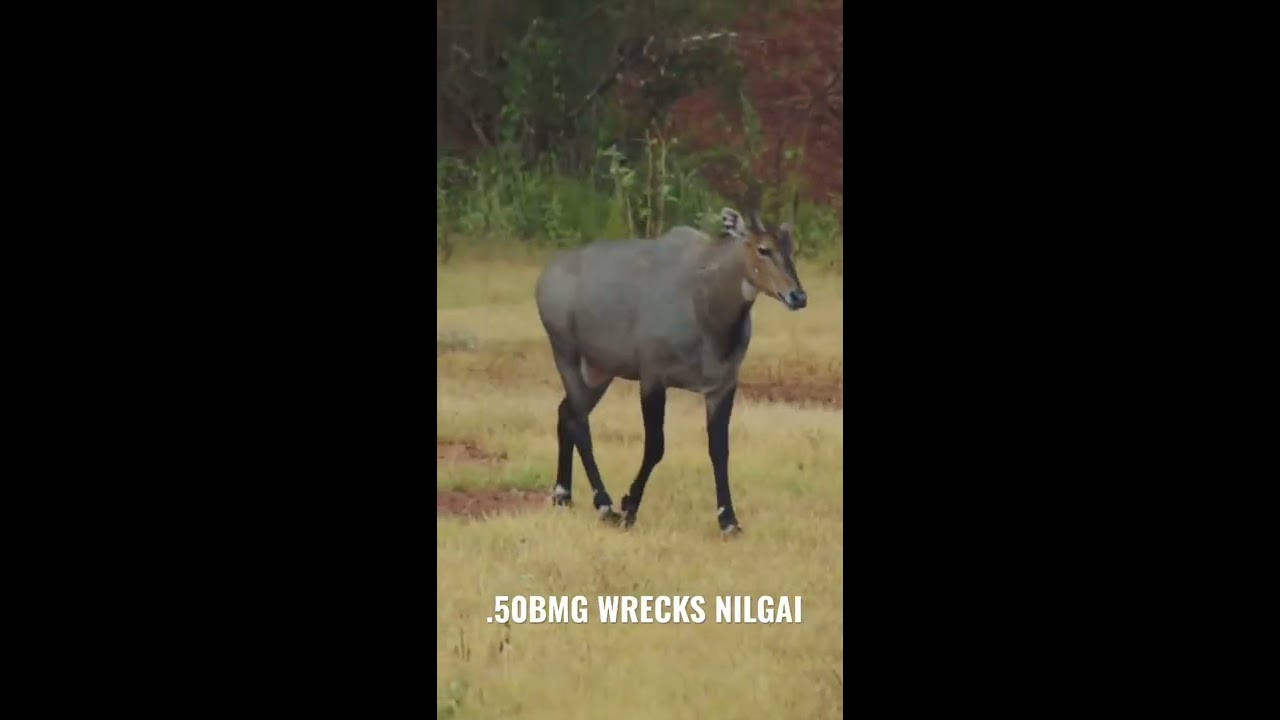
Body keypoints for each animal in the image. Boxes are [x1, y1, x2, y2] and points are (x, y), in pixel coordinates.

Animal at [535, 206, 803, 532]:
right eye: (763, 249)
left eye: (791, 248)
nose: (798, 296)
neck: (706, 309)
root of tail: (546, 276)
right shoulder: (653, 377)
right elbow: (655, 446)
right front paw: (629, 507)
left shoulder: (722, 385)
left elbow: (720, 450)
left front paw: (728, 520)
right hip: (567, 355)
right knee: (579, 421)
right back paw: (604, 503)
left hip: (599, 371)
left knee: (566, 412)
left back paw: (563, 494)